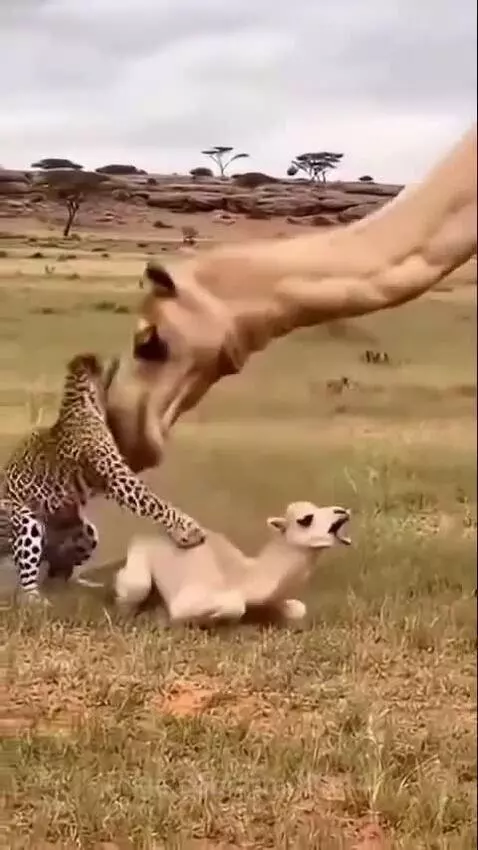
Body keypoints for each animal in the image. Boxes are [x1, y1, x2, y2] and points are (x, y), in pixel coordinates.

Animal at [0, 352, 206, 602]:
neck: (82, 403)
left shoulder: (111, 471)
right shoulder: (117, 476)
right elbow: (152, 502)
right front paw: (189, 530)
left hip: (85, 533)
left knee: (56, 568)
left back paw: (68, 586)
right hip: (24, 521)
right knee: (27, 578)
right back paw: (35, 599)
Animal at [113, 501, 352, 625]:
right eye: (306, 519)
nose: (342, 511)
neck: (245, 578)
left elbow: (298, 609)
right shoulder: (186, 599)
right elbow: (234, 607)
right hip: (139, 568)